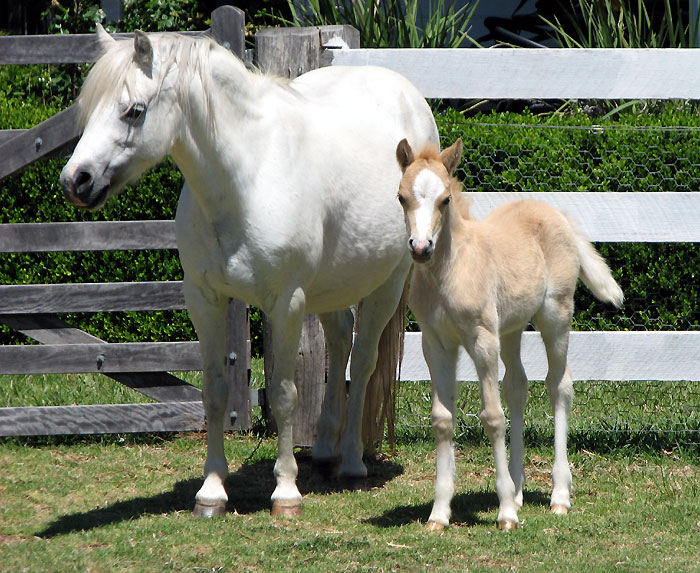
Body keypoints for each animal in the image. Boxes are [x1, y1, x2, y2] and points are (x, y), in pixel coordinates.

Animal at [59, 26, 439, 518]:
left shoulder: (287, 302)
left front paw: (286, 493)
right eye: (88, 110)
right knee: (340, 343)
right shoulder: (204, 299)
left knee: (363, 361)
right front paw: (212, 492)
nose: (76, 181)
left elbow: (283, 395)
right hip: (331, 286)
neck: (250, 175)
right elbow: (215, 392)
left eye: (134, 110)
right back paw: (325, 452)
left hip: (386, 285)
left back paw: (352, 461)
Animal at [395, 138, 623, 531]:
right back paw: (518, 492)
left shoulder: (482, 340)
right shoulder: (435, 343)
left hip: (555, 316)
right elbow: (443, 420)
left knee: (559, 386)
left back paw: (558, 496)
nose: (421, 248)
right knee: (518, 386)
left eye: (445, 200)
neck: (449, 271)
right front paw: (439, 514)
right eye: (402, 197)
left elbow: (492, 417)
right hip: (513, 328)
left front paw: (505, 514)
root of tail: (557, 212)